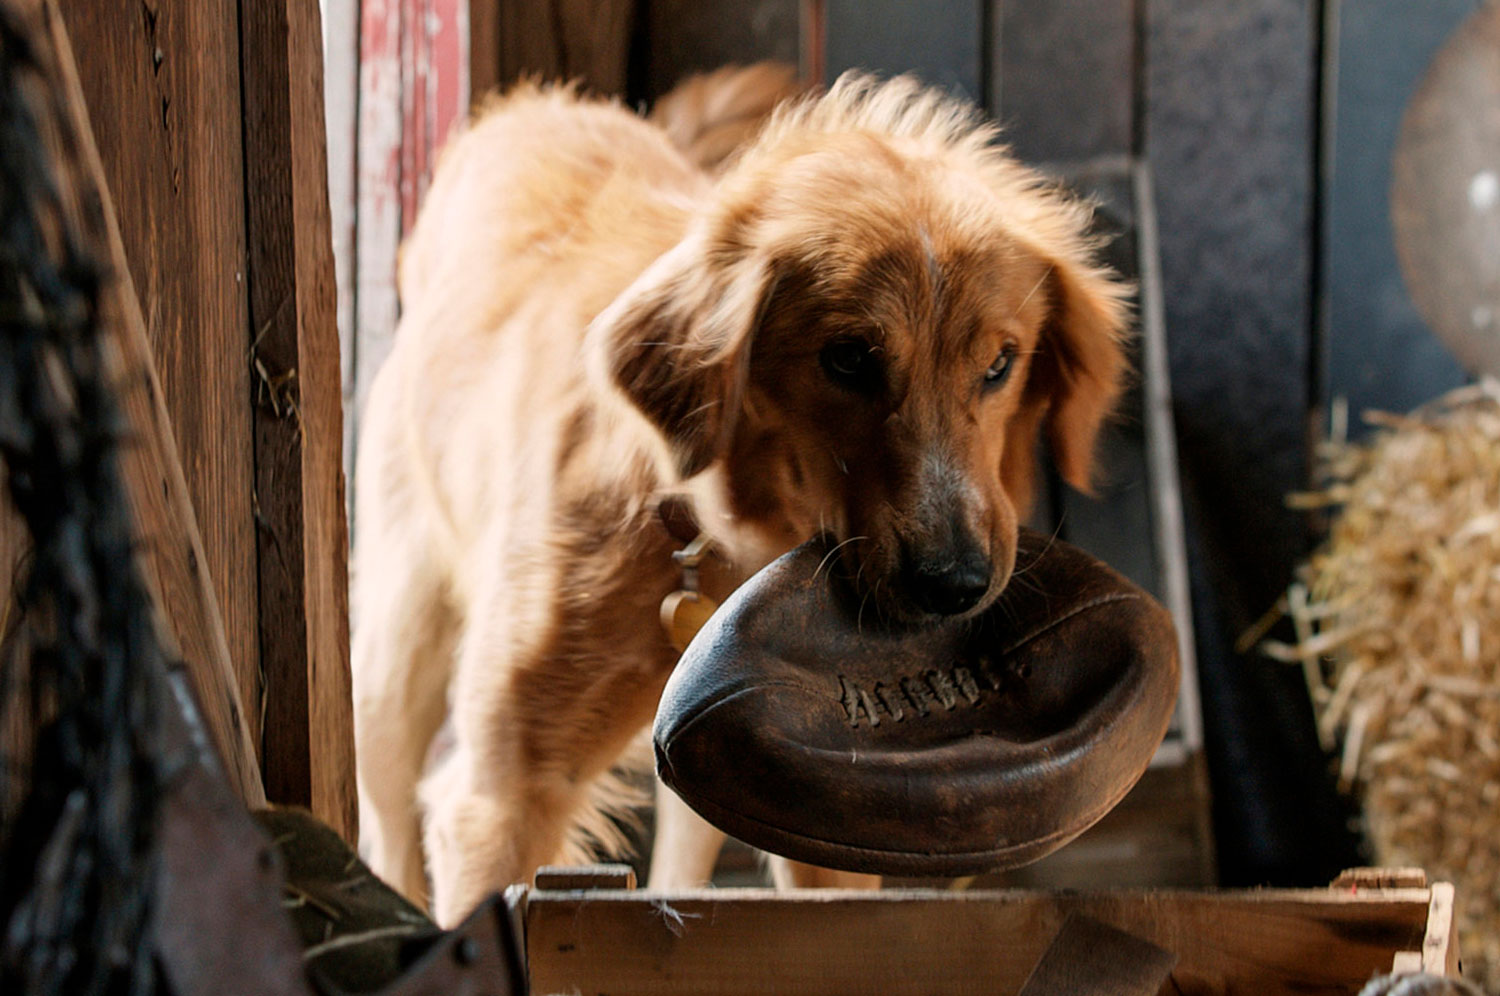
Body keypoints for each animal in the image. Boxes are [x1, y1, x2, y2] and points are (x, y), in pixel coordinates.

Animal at [351, 64, 1128, 924]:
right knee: (385, 827)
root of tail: (528, 106)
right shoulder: (504, 793)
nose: (955, 585)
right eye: (848, 357)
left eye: (1000, 364)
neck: (711, 534)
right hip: (393, 664)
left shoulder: (818, 799)